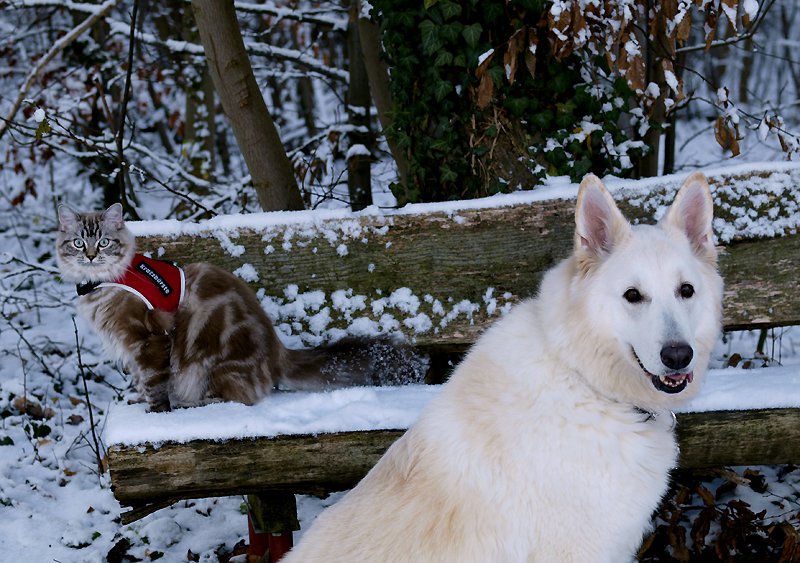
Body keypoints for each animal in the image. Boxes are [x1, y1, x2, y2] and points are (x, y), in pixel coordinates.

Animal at [56, 204, 424, 414]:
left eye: (103, 242)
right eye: (79, 243)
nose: (91, 255)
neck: (100, 284)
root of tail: (277, 350)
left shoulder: (147, 338)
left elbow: (154, 382)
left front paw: (156, 410)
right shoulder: (130, 347)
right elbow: (139, 379)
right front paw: (138, 399)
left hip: (206, 364)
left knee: (239, 397)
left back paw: (194, 402)